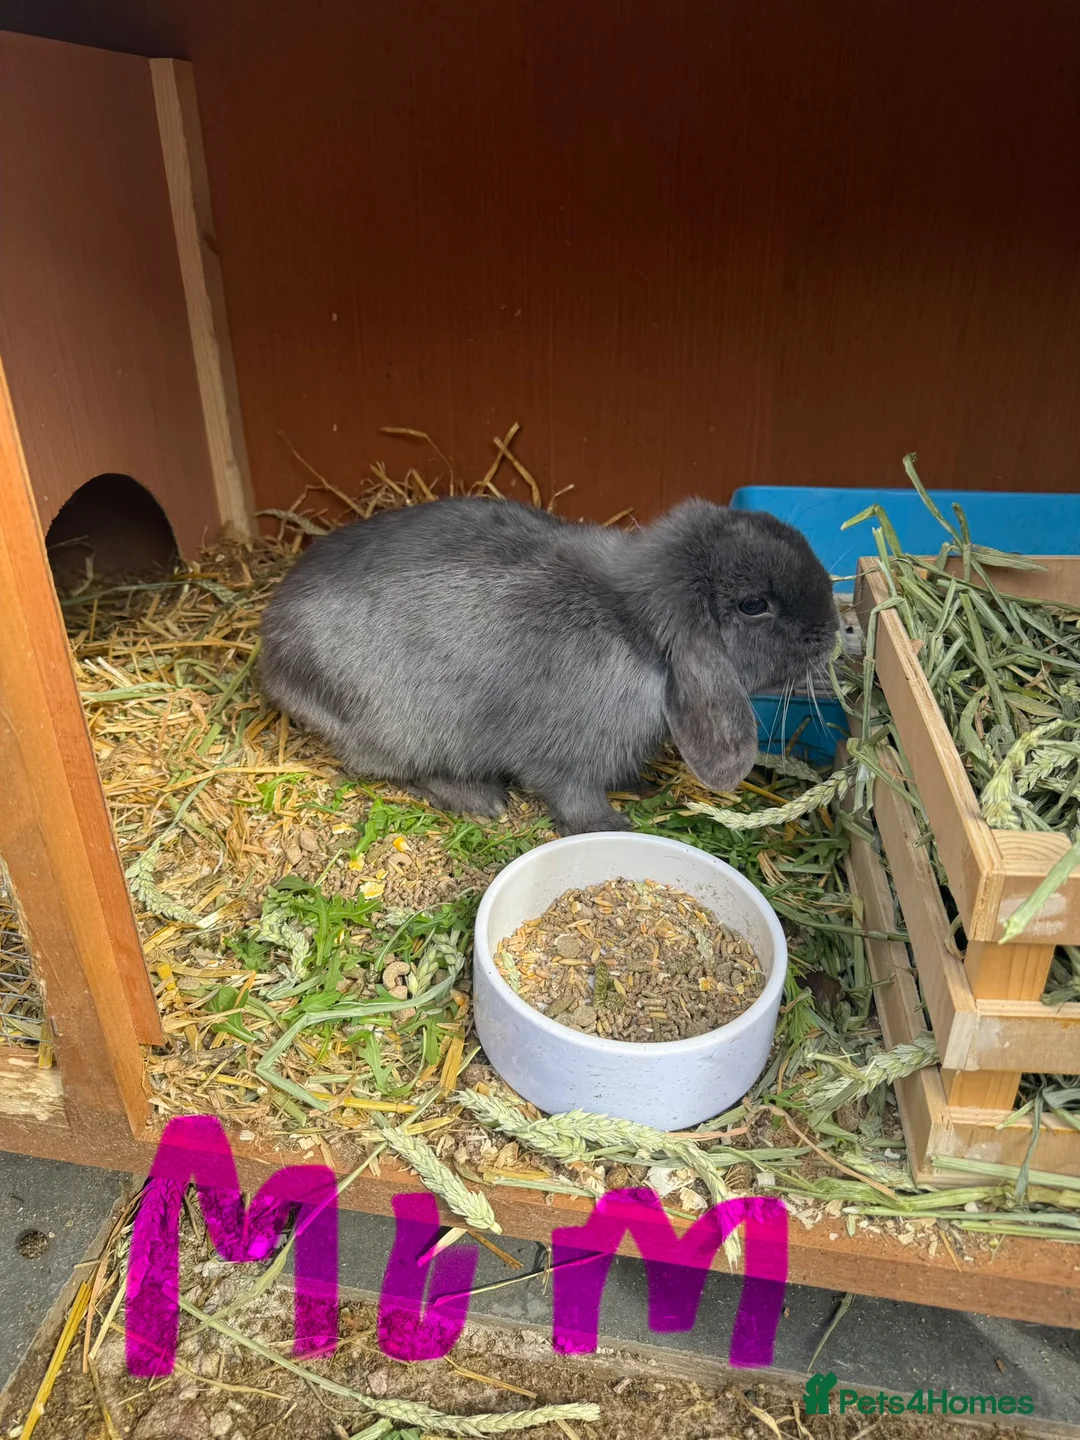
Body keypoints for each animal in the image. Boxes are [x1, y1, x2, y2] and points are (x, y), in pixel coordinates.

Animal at [259, 496, 839, 835]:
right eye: (754, 605)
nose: (831, 632)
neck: (635, 630)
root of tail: (273, 656)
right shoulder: (565, 759)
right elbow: (572, 797)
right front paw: (615, 827)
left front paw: (644, 787)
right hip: (397, 728)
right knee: (385, 768)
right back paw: (480, 798)